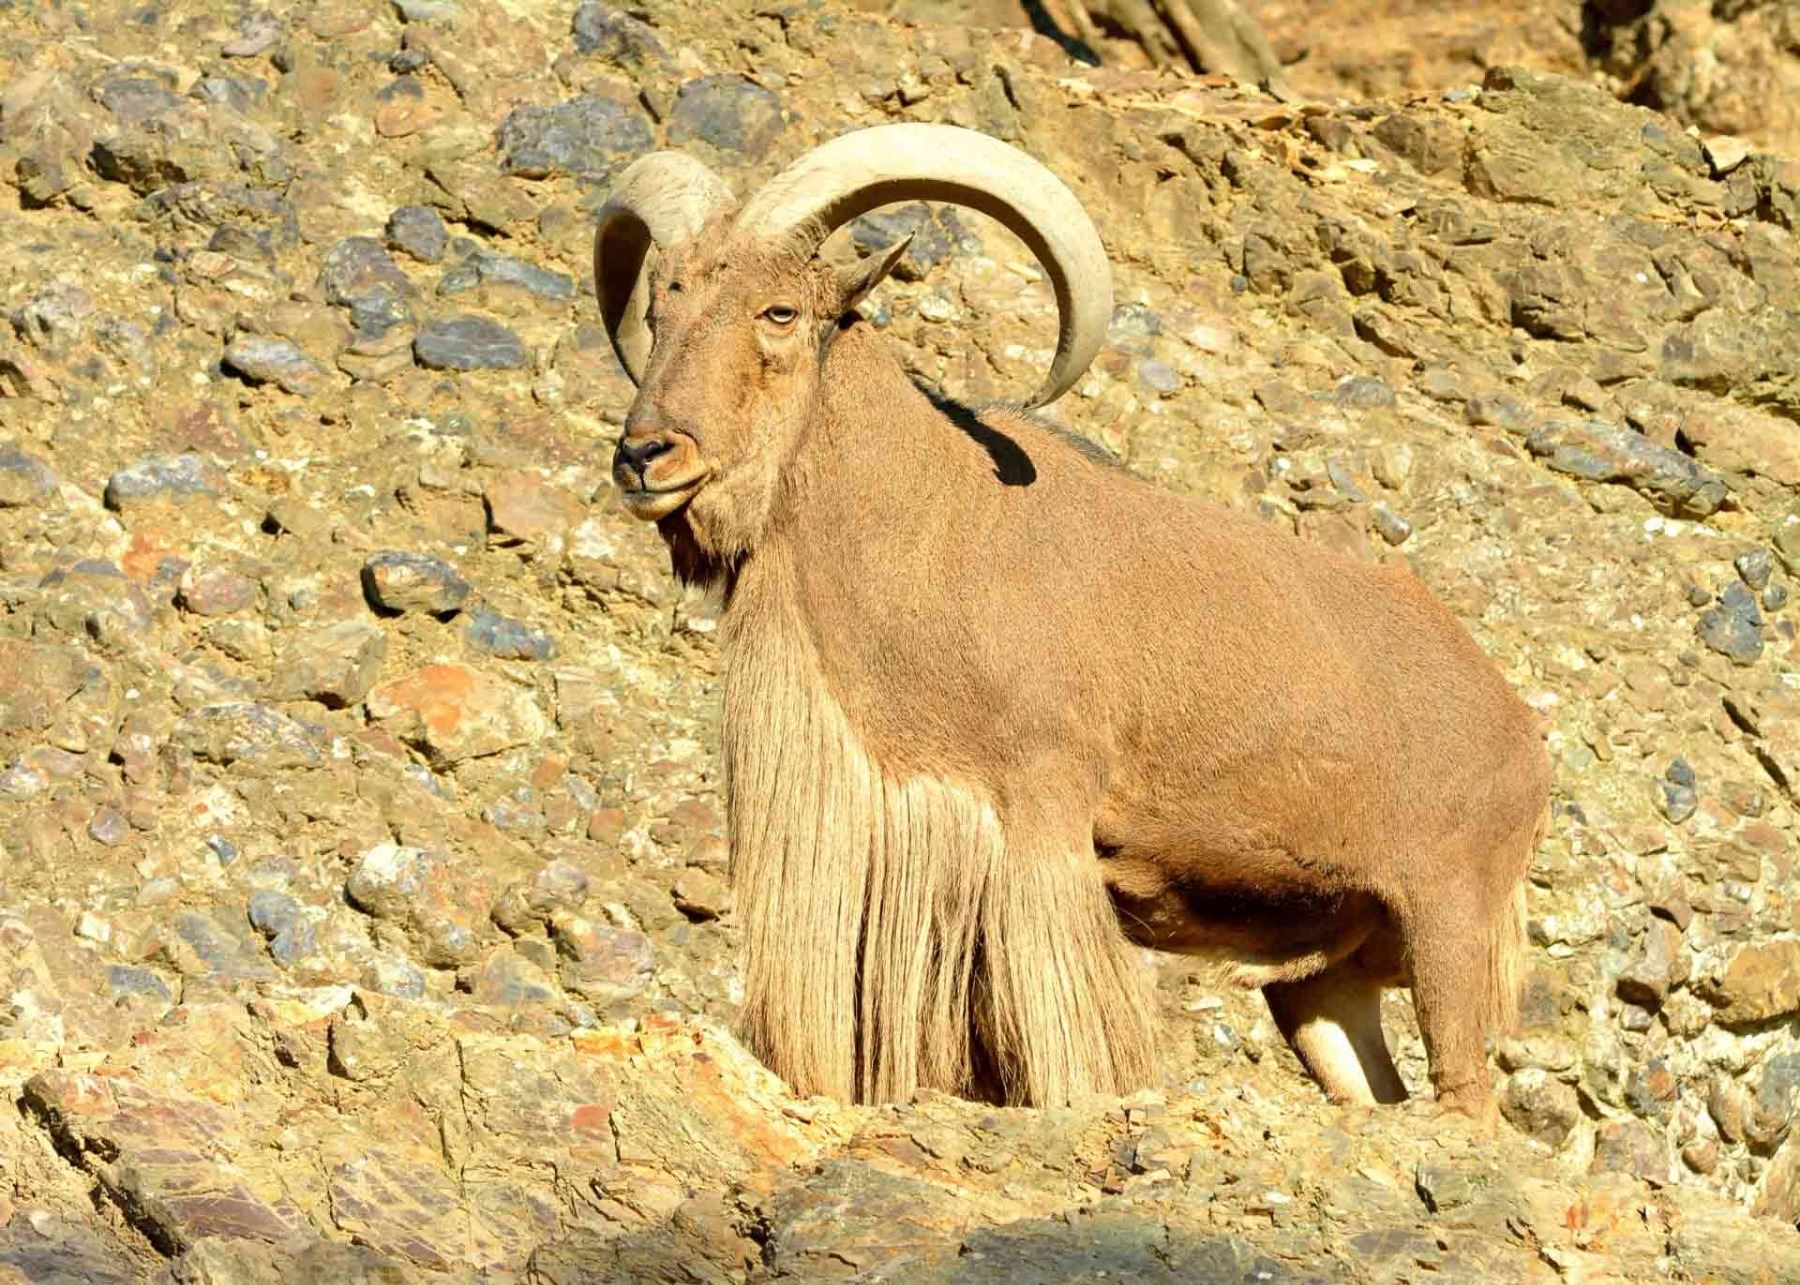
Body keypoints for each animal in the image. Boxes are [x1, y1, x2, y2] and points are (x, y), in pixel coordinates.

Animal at [593, 122, 1551, 1116]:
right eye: (659, 310)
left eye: (778, 311)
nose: (646, 455)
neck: (931, 522)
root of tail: (1523, 733)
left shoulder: (1041, 807)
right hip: (1326, 978)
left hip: (1449, 918)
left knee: (1466, 1093)